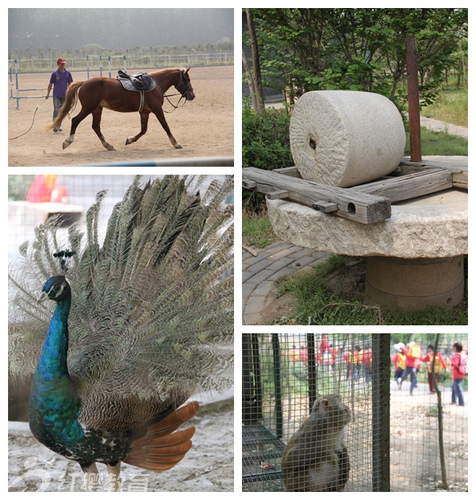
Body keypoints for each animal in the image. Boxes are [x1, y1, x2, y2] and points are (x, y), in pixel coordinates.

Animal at [48, 67, 195, 151]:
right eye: (187, 79)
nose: (192, 95)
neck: (156, 84)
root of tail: (85, 82)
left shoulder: (145, 112)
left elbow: (143, 130)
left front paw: (129, 140)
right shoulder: (157, 109)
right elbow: (165, 126)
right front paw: (176, 143)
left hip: (97, 109)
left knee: (96, 126)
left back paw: (108, 145)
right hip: (89, 108)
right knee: (75, 120)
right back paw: (67, 142)